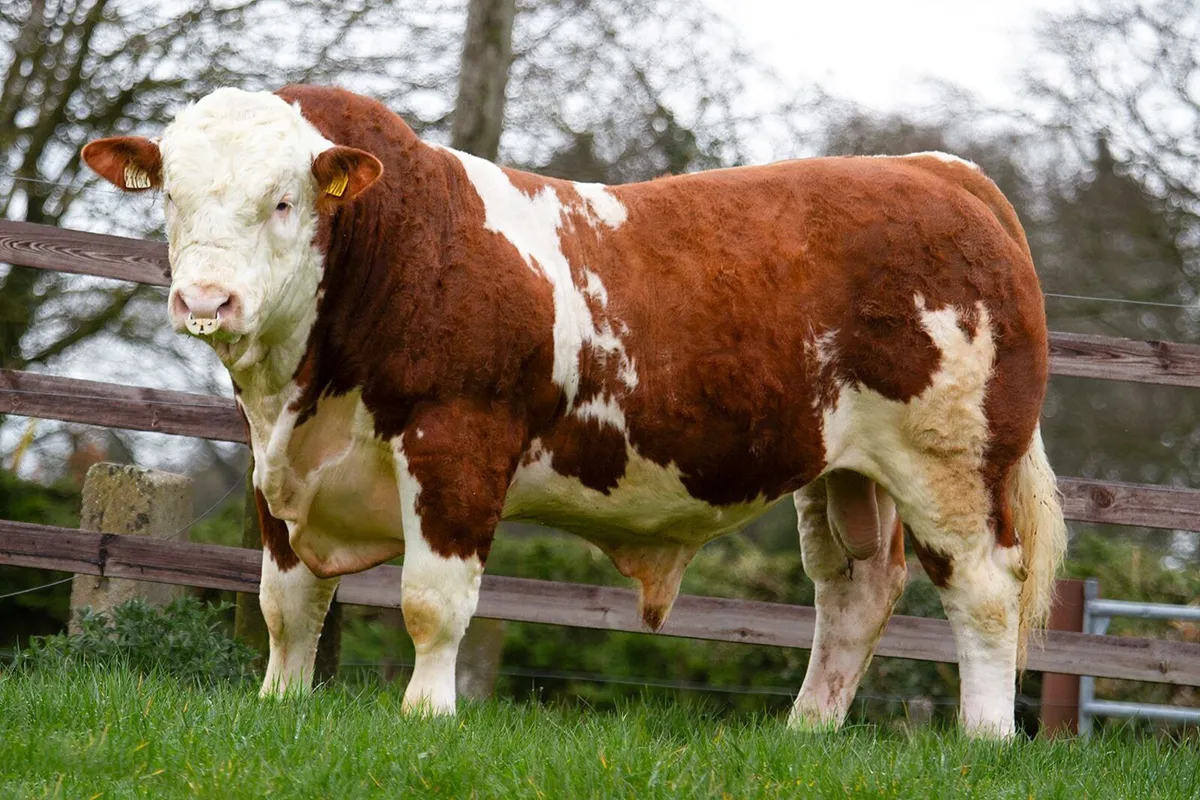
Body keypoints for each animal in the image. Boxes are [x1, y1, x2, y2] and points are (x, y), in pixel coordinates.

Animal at [83, 84, 1067, 737]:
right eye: (170, 197)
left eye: (283, 200)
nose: (206, 301)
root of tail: (935, 169)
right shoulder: (273, 464)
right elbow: (287, 603)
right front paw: (280, 704)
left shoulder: (458, 443)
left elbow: (432, 601)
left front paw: (427, 715)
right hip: (842, 474)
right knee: (854, 593)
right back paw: (807, 732)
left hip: (952, 463)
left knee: (984, 591)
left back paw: (984, 738)